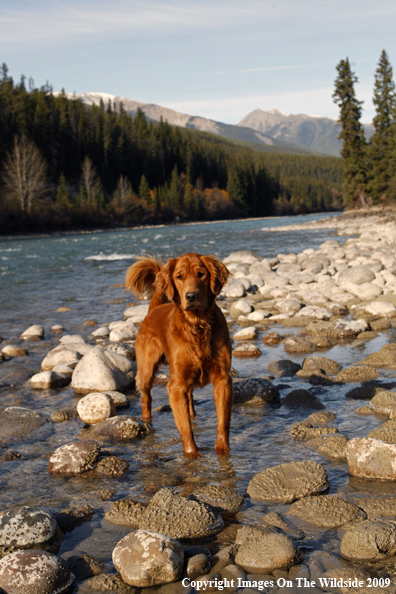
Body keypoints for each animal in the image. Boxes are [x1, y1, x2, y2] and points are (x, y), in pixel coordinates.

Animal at [125, 252, 234, 456]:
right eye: (179, 276)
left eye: (201, 274)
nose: (191, 296)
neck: (197, 325)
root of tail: (153, 309)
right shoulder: (176, 385)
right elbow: (185, 428)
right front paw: (192, 455)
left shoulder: (223, 379)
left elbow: (223, 422)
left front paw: (222, 452)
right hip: (146, 369)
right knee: (146, 397)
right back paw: (147, 422)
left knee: (189, 398)